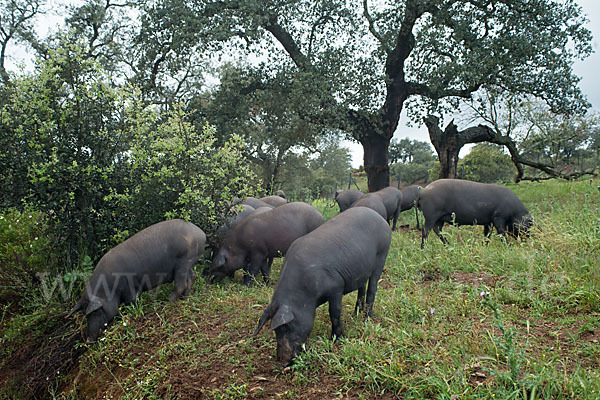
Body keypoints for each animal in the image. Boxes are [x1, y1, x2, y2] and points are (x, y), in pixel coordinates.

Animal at [69, 220, 206, 342]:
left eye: (95, 312)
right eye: (84, 313)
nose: (89, 340)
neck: (109, 288)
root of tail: (201, 233)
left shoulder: (130, 288)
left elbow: (132, 301)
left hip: (183, 262)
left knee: (181, 285)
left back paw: (165, 305)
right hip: (188, 263)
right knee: (192, 278)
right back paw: (184, 299)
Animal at [254, 208, 392, 368]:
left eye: (286, 327)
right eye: (276, 331)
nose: (282, 362)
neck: (306, 294)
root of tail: (380, 218)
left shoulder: (337, 286)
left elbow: (334, 312)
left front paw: (335, 340)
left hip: (382, 255)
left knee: (372, 288)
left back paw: (366, 319)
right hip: (362, 269)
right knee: (362, 288)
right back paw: (354, 315)